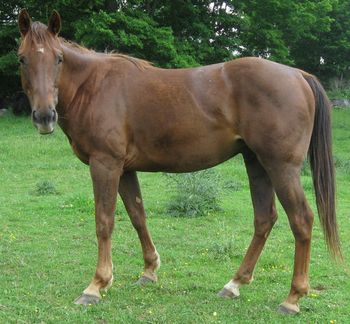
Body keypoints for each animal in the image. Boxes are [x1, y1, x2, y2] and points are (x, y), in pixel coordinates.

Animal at [17, 9, 340, 314]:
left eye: (59, 59)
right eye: (22, 59)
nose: (44, 116)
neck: (94, 86)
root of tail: (299, 75)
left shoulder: (105, 164)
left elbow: (104, 221)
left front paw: (97, 285)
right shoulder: (125, 169)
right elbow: (137, 215)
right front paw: (149, 270)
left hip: (281, 167)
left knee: (301, 220)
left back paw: (293, 297)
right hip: (257, 163)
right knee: (265, 218)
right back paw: (234, 284)